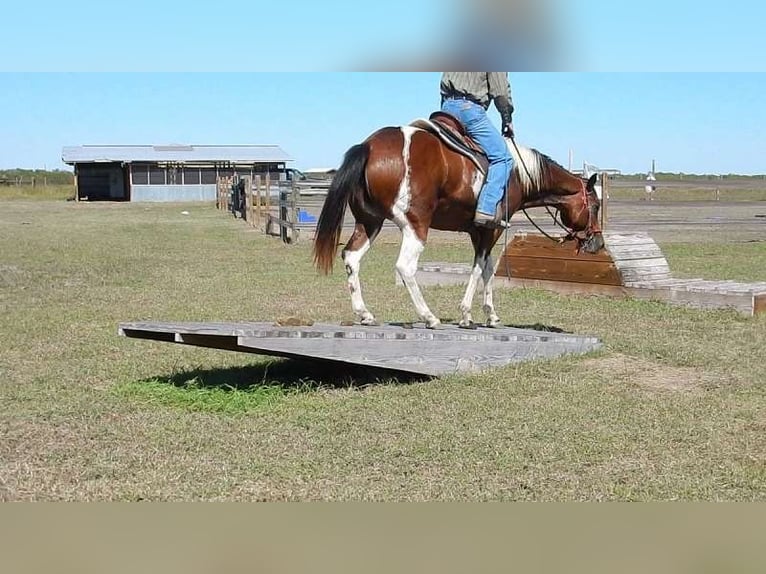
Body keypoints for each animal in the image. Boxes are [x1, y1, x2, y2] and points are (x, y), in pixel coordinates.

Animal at [312, 113, 605, 330]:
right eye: (596, 206)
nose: (598, 243)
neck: (518, 173)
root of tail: (369, 146)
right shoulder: (491, 230)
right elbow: (479, 268)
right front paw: (467, 315)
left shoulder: (478, 231)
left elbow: (487, 269)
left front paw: (490, 315)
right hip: (415, 225)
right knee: (405, 267)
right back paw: (429, 317)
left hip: (370, 222)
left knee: (352, 257)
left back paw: (365, 313)